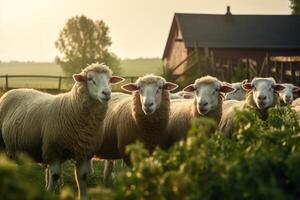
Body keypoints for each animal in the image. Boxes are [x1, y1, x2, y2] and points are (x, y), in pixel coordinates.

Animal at [0, 63, 124, 198]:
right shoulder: (53, 151)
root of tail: (12, 90)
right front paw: (49, 193)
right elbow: (54, 176)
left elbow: (82, 177)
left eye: (109, 79)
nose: (106, 93)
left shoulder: (84, 154)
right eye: (90, 79)